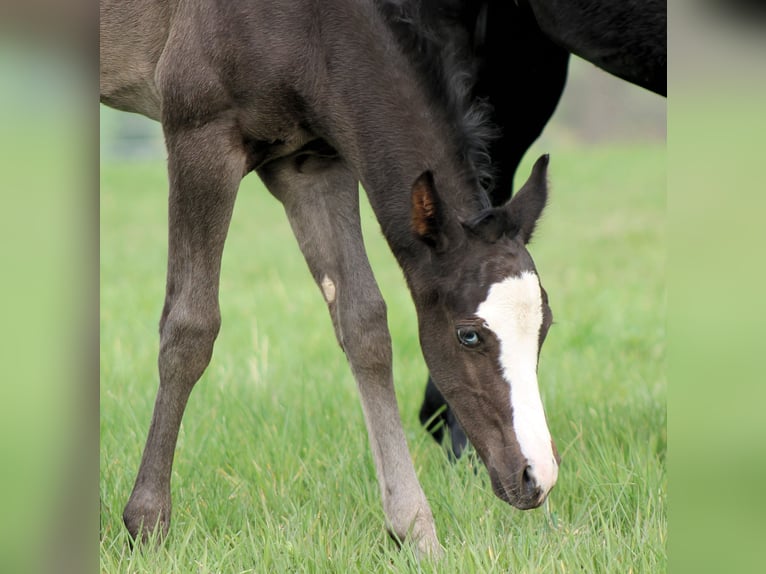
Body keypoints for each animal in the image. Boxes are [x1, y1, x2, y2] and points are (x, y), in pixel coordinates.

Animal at [100, 0, 559, 557]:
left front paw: (415, 529)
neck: (311, 25)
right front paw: (146, 522)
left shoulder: (312, 161)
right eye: (468, 334)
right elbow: (190, 328)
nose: (537, 478)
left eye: (545, 327)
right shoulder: (199, 132)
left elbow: (365, 324)